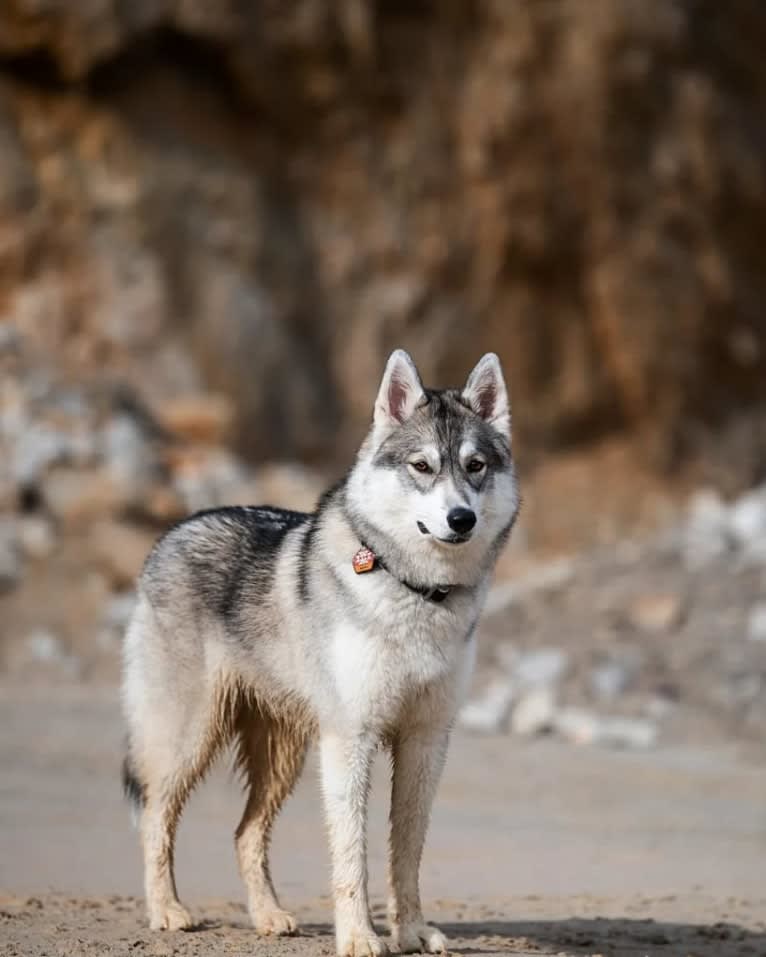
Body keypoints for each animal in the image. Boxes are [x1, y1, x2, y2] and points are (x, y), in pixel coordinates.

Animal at [121, 352, 520, 956]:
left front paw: (410, 931)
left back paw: (269, 917)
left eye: (475, 466)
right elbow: (352, 853)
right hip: (190, 738)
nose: (461, 519)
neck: (416, 592)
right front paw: (359, 937)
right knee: (153, 815)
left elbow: (407, 850)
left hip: (281, 754)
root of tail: (172, 533)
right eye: (422, 467)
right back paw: (167, 910)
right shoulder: (350, 739)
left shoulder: (426, 739)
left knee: (244, 833)